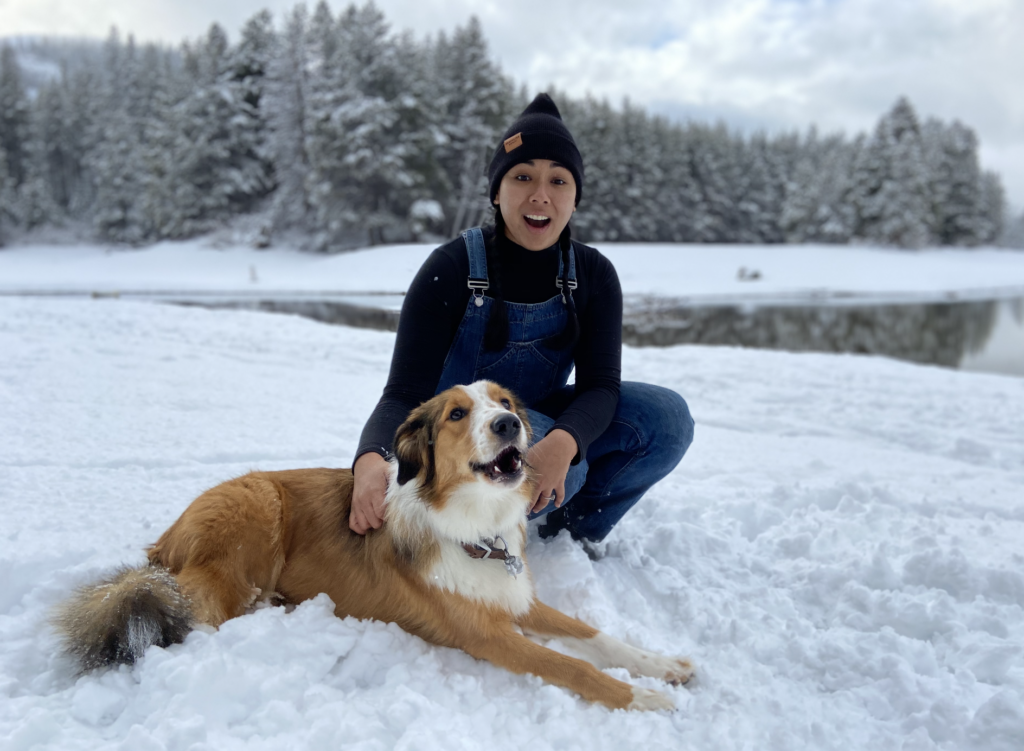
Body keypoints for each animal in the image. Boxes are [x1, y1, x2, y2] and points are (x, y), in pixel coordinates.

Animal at [56, 381, 696, 708]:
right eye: (458, 413)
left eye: (506, 404)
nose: (508, 425)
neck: (474, 526)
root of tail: (164, 543)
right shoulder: (485, 635)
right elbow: (573, 666)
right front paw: (644, 700)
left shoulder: (513, 597)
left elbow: (594, 636)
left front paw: (663, 666)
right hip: (253, 510)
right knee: (202, 612)